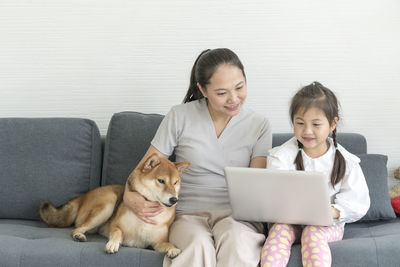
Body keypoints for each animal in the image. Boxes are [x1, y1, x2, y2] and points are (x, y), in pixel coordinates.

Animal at [39, 155, 190, 260]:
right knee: (76, 228)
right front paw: (113, 243)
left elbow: (168, 244)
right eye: (161, 181)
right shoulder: (115, 225)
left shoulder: (158, 243)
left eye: (175, 182)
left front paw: (173, 250)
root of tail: (84, 196)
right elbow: (117, 232)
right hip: (108, 203)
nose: (174, 199)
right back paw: (79, 235)